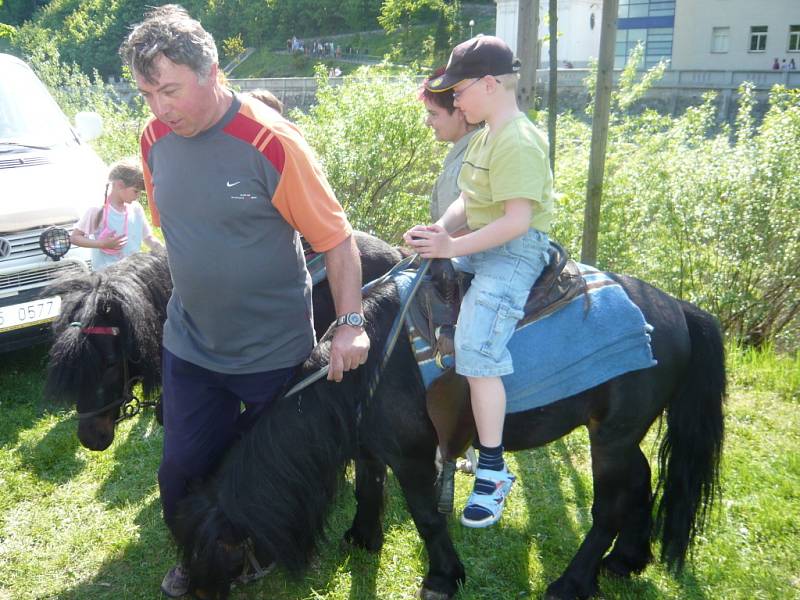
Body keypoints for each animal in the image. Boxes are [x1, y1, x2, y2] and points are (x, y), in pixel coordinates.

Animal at [173, 274, 724, 600]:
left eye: (213, 551)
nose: (192, 592)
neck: (366, 366)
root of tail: (676, 307)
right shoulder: (372, 449)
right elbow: (369, 488)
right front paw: (363, 537)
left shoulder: (416, 458)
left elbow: (425, 517)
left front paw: (442, 575)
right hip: (623, 438)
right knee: (642, 483)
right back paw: (628, 560)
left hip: (610, 439)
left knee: (611, 505)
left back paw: (573, 581)